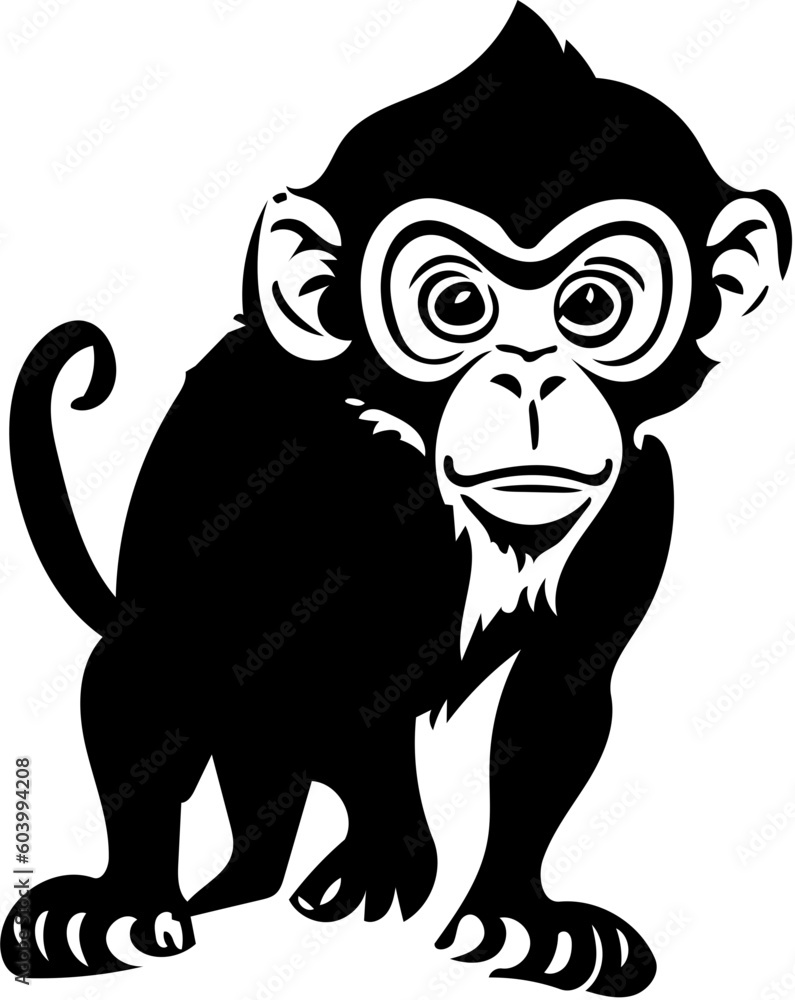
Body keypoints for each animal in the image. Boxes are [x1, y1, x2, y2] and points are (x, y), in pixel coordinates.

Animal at [2, 3, 790, 994]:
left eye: (591, 307)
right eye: (455, 305)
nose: (530, 378)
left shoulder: (642, 503)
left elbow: (554, 694)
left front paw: (520, 915)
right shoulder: (265, 456)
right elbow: (224, 654)